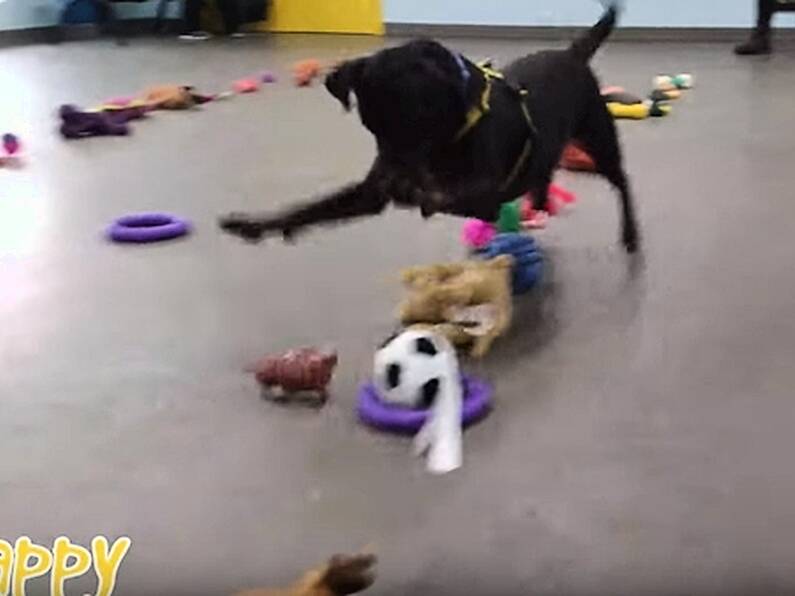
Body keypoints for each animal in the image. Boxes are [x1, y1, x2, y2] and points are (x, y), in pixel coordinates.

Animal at [218, 1, 640, 251]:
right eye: (371, 128)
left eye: (418, 123)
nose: (393, 177)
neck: (456, 128)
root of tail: (572, 53)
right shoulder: (370, 191)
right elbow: (312, 206)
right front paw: (256, 224)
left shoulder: (484, 197)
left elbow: (445, 194)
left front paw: (420, 190)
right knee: (544, 170)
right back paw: (537, 201)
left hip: (599, 139)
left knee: (621, 180)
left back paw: (631, 236)